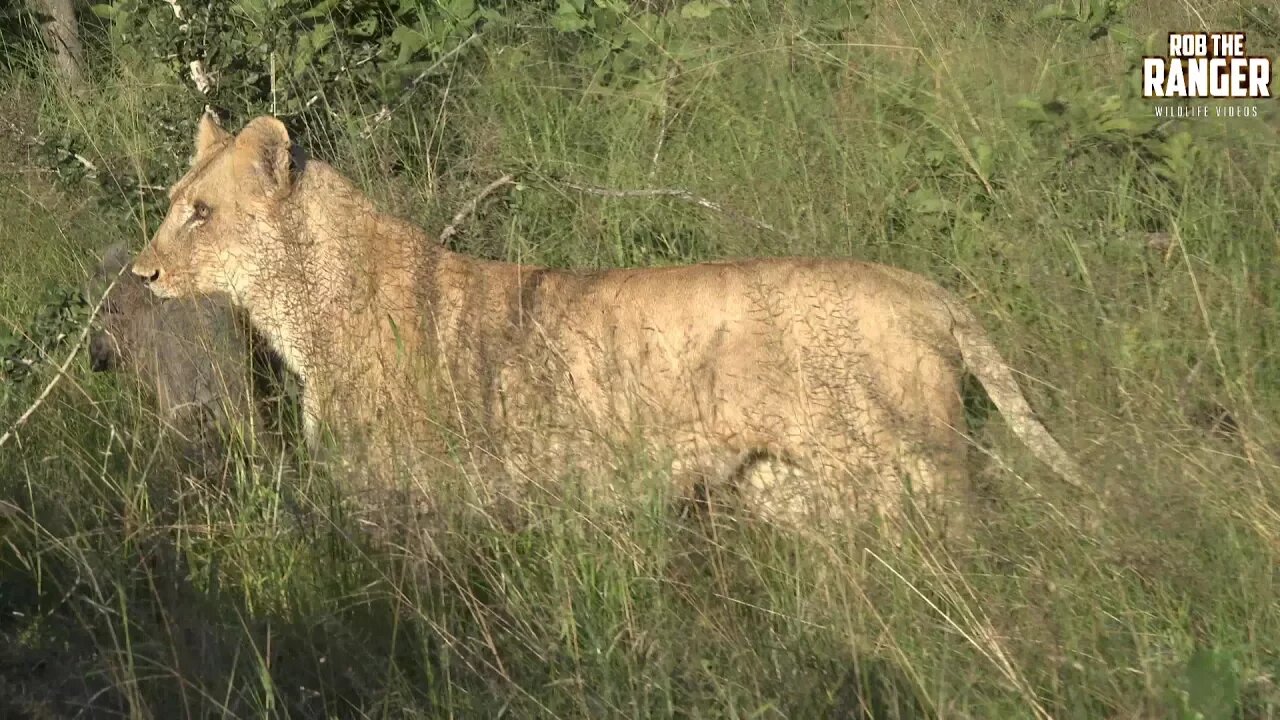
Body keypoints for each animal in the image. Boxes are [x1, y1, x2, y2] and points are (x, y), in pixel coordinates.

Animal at [129, 112, 1085, 527]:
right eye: (174, 202)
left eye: (201, 214)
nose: (142, 273)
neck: (306, 303)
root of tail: (926, 288)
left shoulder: (413, 494)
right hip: (800, 494)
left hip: (907, 475)